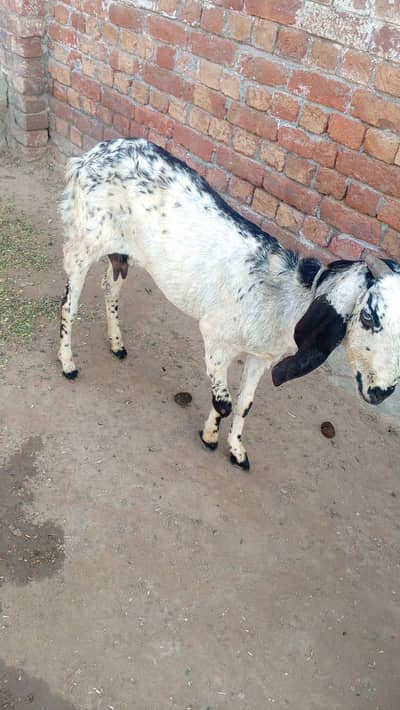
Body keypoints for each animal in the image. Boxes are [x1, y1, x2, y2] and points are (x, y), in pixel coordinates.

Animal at [59, 138, 400, 470]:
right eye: (368, 316)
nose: (382, 392)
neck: (284, 300)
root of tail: (89, 157)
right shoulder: (216, 339)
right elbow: (223, 402)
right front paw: (209, 437)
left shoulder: (261, 358)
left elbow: (245, 404)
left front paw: (236, 449)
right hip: (85, 243)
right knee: (69, 305)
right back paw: (67, 362)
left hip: (123, 252)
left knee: (110, 288)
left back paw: (116, 343)